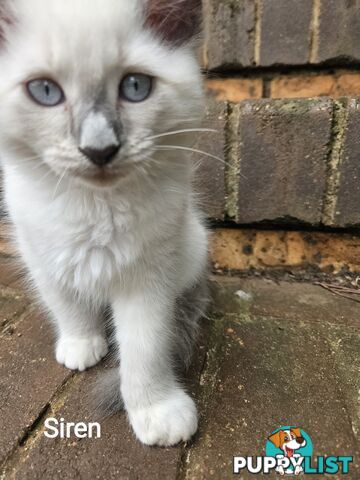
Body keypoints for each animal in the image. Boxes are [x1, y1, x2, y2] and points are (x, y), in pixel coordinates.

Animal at [0, 0, 208, 446]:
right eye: (45, 92)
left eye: (135, 87)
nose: (99, 149)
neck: (95, 205)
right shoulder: (45, 258)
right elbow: (68, 307)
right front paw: (81, 345)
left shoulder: (149, 276)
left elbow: (146, 350)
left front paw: (155, 411)